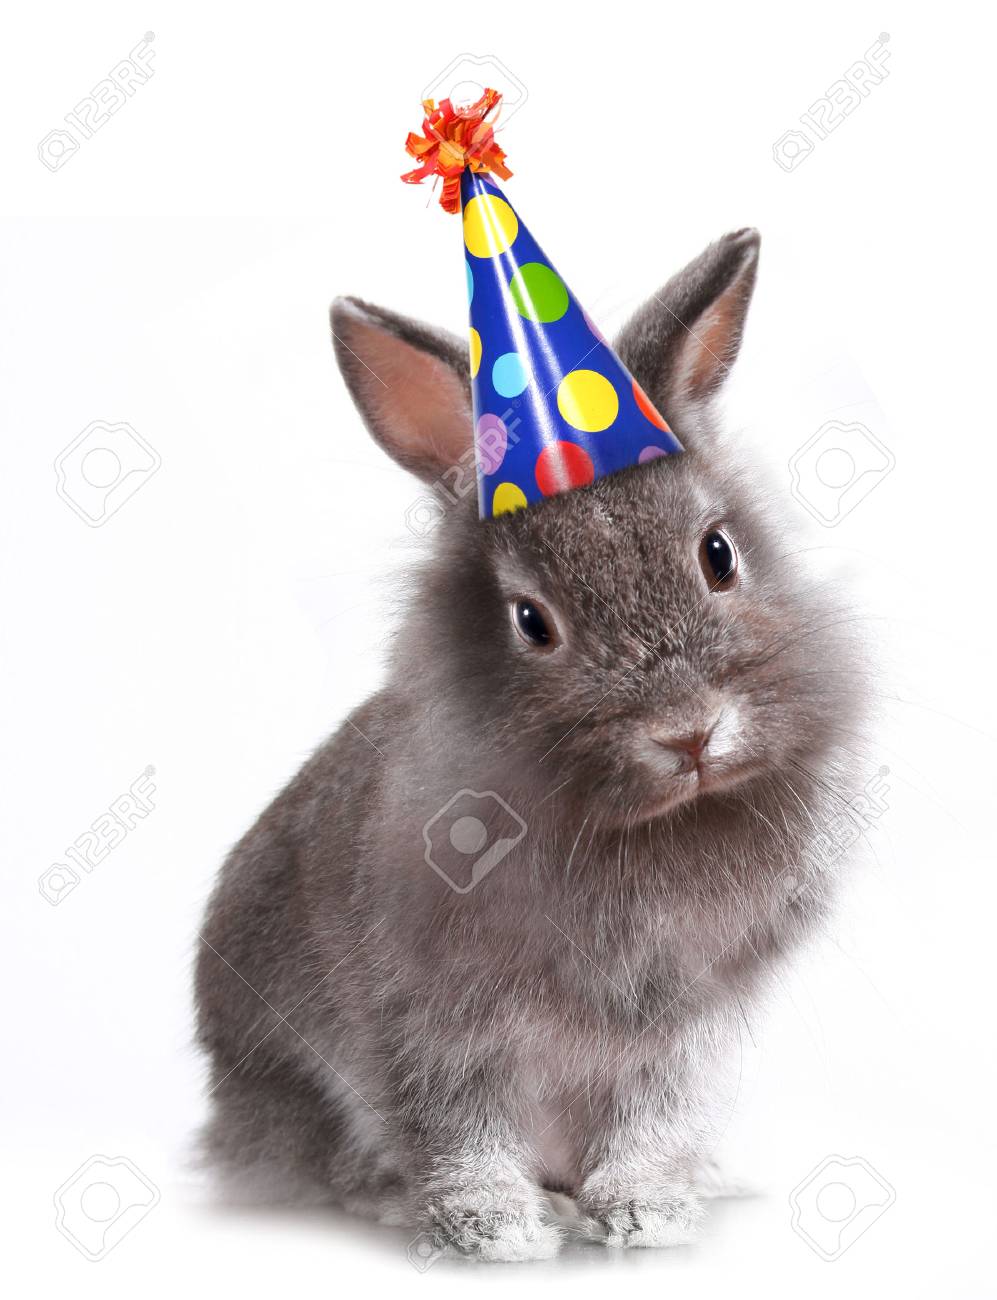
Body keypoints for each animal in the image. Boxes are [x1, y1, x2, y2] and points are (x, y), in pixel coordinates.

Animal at [195, 227, 867, 1261]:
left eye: (718, 554)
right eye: (529, 621)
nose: (689, 734)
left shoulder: (684, 1030)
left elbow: (652, 1118)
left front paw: (645, 1211)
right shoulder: (427, 1023)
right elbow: (454, 1124)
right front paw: (492, 1229)